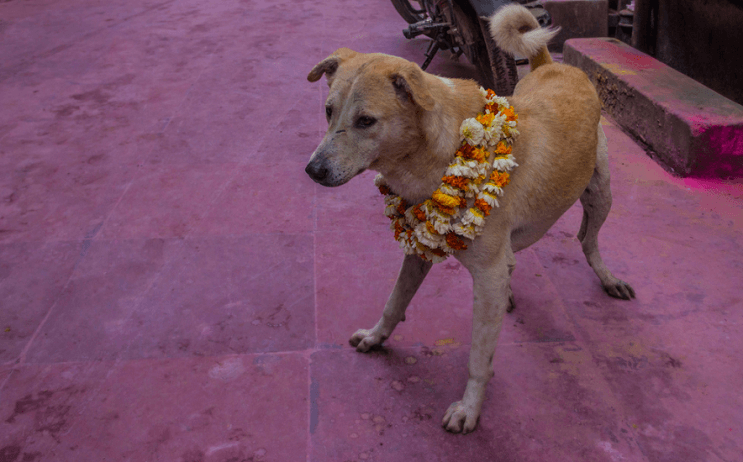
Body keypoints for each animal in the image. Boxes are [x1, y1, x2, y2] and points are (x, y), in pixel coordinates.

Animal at [306, 4, 636, 434]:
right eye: (328, 111)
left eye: (366, 121)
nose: (313, 170)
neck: (435, 151)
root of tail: (553, 65)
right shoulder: (419, 251)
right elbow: (395, 302)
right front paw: (377, 338)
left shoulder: (487, 275)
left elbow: (479, 356)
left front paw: (469, 409)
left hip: (601, 193)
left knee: (587, 239)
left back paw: (609, 278)